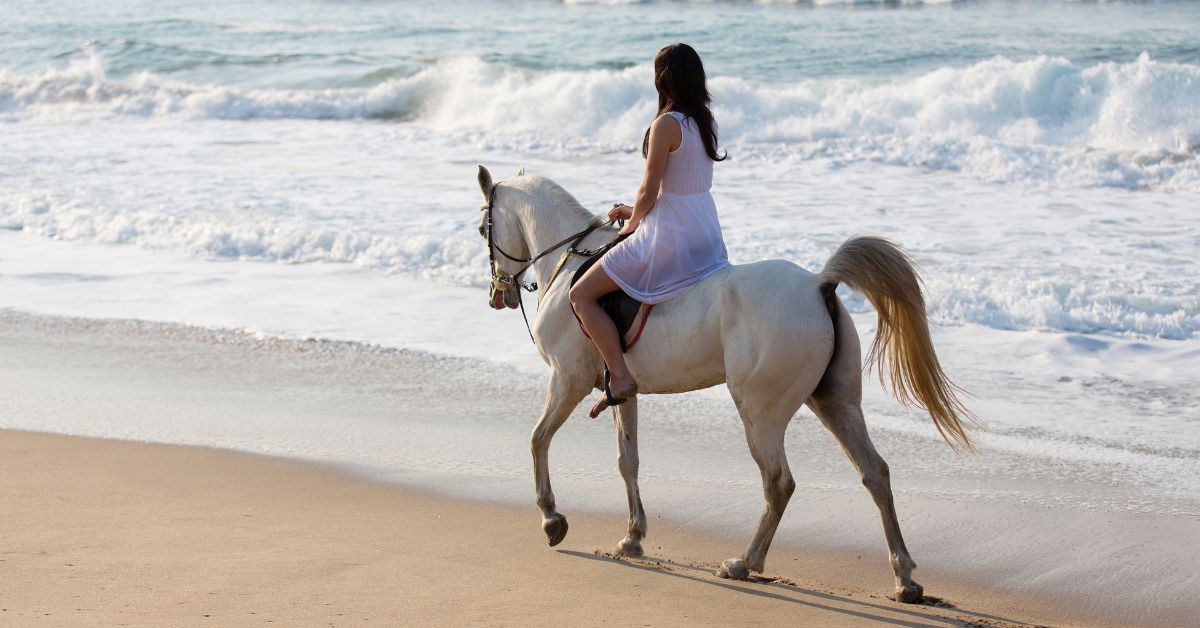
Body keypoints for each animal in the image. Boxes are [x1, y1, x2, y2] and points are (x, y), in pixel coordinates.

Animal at [474, 165, 976, 603]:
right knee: (875, 473)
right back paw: (905, 579)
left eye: (483, 230)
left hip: (760, 412)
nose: (499, 295)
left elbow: (538, 439)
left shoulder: (568, 380)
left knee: (779, 483)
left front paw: (551, 519)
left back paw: (744, 562)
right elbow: (627, 461)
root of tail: (819, 284)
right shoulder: (621, 392)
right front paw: (632, 537)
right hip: (835, 403)